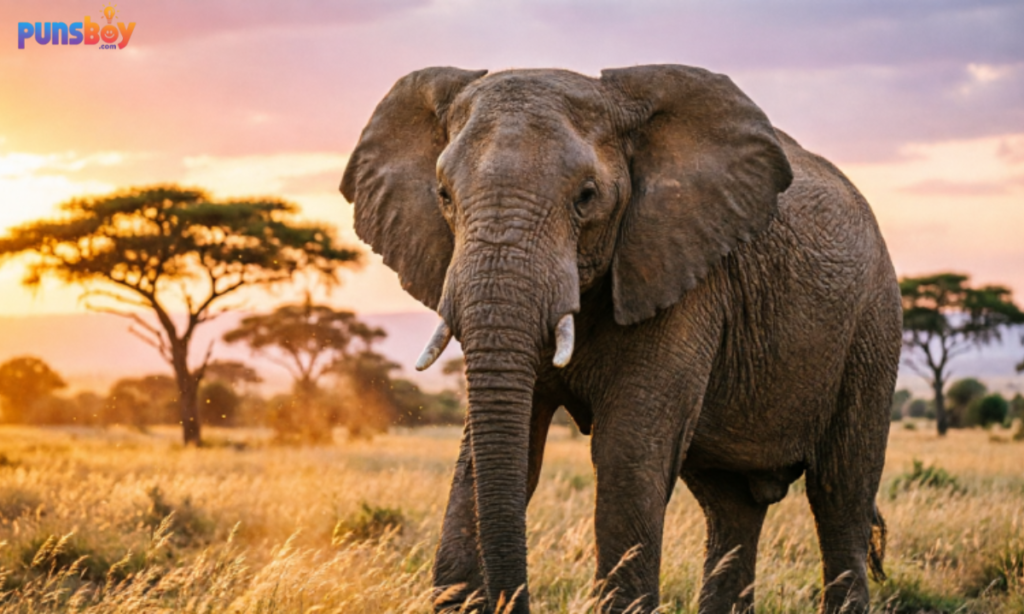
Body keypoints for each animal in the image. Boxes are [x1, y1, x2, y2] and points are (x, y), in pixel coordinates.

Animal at [340, 64, 902, 614]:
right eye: (443, 196)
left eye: (586, 197)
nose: (515, 601)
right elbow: (491, 454)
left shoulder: (683, 274)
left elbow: (626, 455)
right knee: (731, 507)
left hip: (872, 329)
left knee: (840, 497)